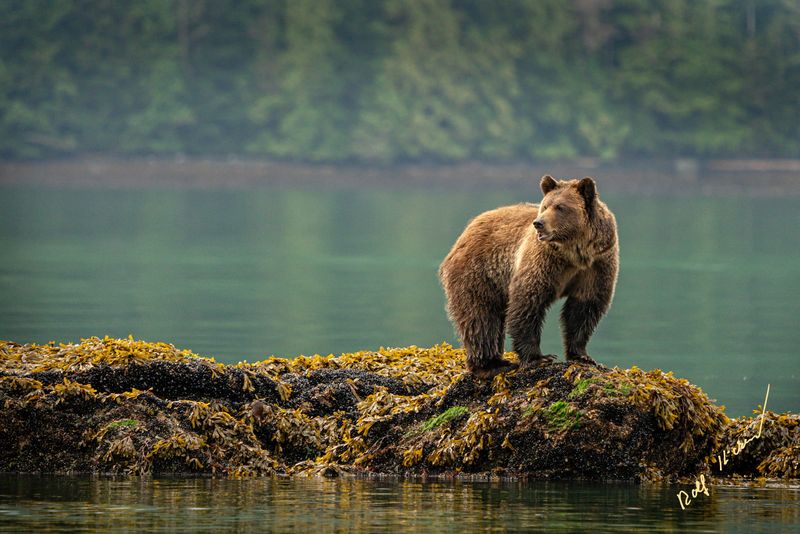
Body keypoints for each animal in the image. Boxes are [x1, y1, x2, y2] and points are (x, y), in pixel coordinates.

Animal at [438, 178, 620, 378]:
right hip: (479, 273)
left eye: (560, 207)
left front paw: (583, 356)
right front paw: (539, 358)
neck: (574, 253)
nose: (539, 223)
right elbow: (528, 301)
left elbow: (584, 308)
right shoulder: (544, 260)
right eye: (545, 205)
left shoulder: (597, 263)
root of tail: (465, 232)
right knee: (480, 318)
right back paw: (491, 365)